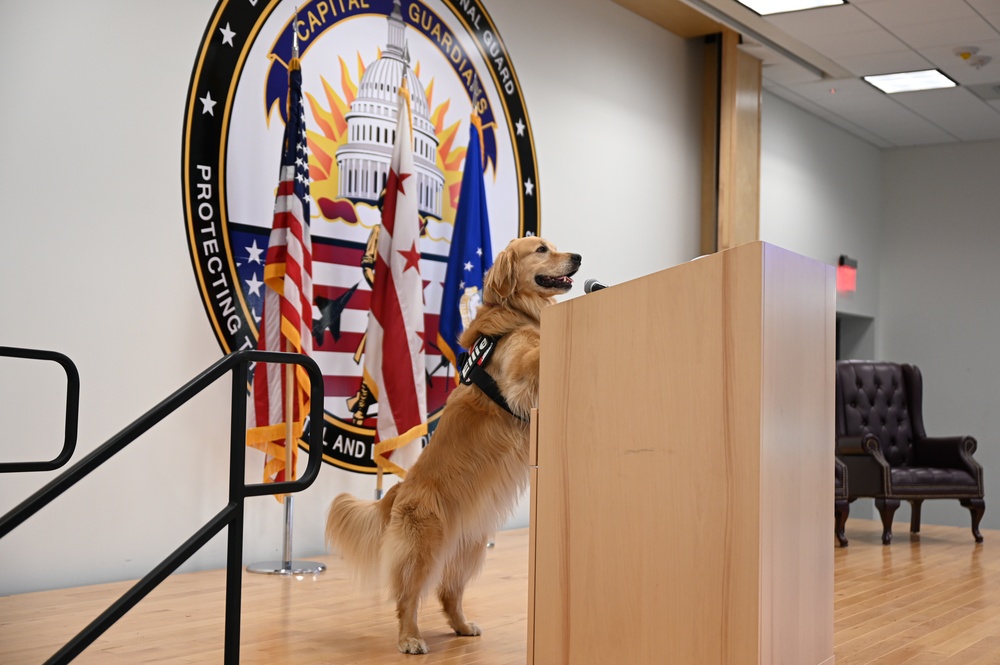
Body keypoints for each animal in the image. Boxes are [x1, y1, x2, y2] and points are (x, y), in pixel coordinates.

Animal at [324, 236, 584, 652]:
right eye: (541, 249)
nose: (578, 257)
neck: (516, 312)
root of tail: (397, 492)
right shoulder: (518, 375)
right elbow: (534, 353)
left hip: (469, 550)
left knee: (448, 593)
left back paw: (462, 626)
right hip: (423, 549)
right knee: (407, 596)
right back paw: (410, 638)